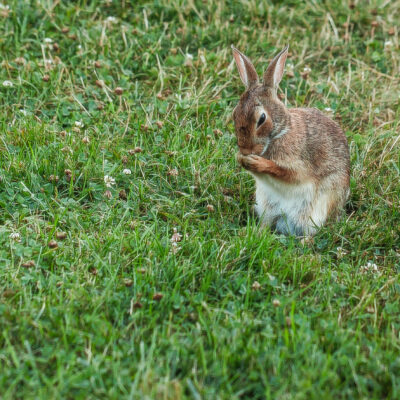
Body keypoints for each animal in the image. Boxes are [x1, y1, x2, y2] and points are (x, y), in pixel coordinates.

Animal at [231, 45, 350, 236]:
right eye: (235, 114)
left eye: (262, 118)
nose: (245, 150)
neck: (280, 132)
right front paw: (241, 158)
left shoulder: (300, 164)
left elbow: (287, 173)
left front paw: (257, 162)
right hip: (266, 205)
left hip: (317, 209)